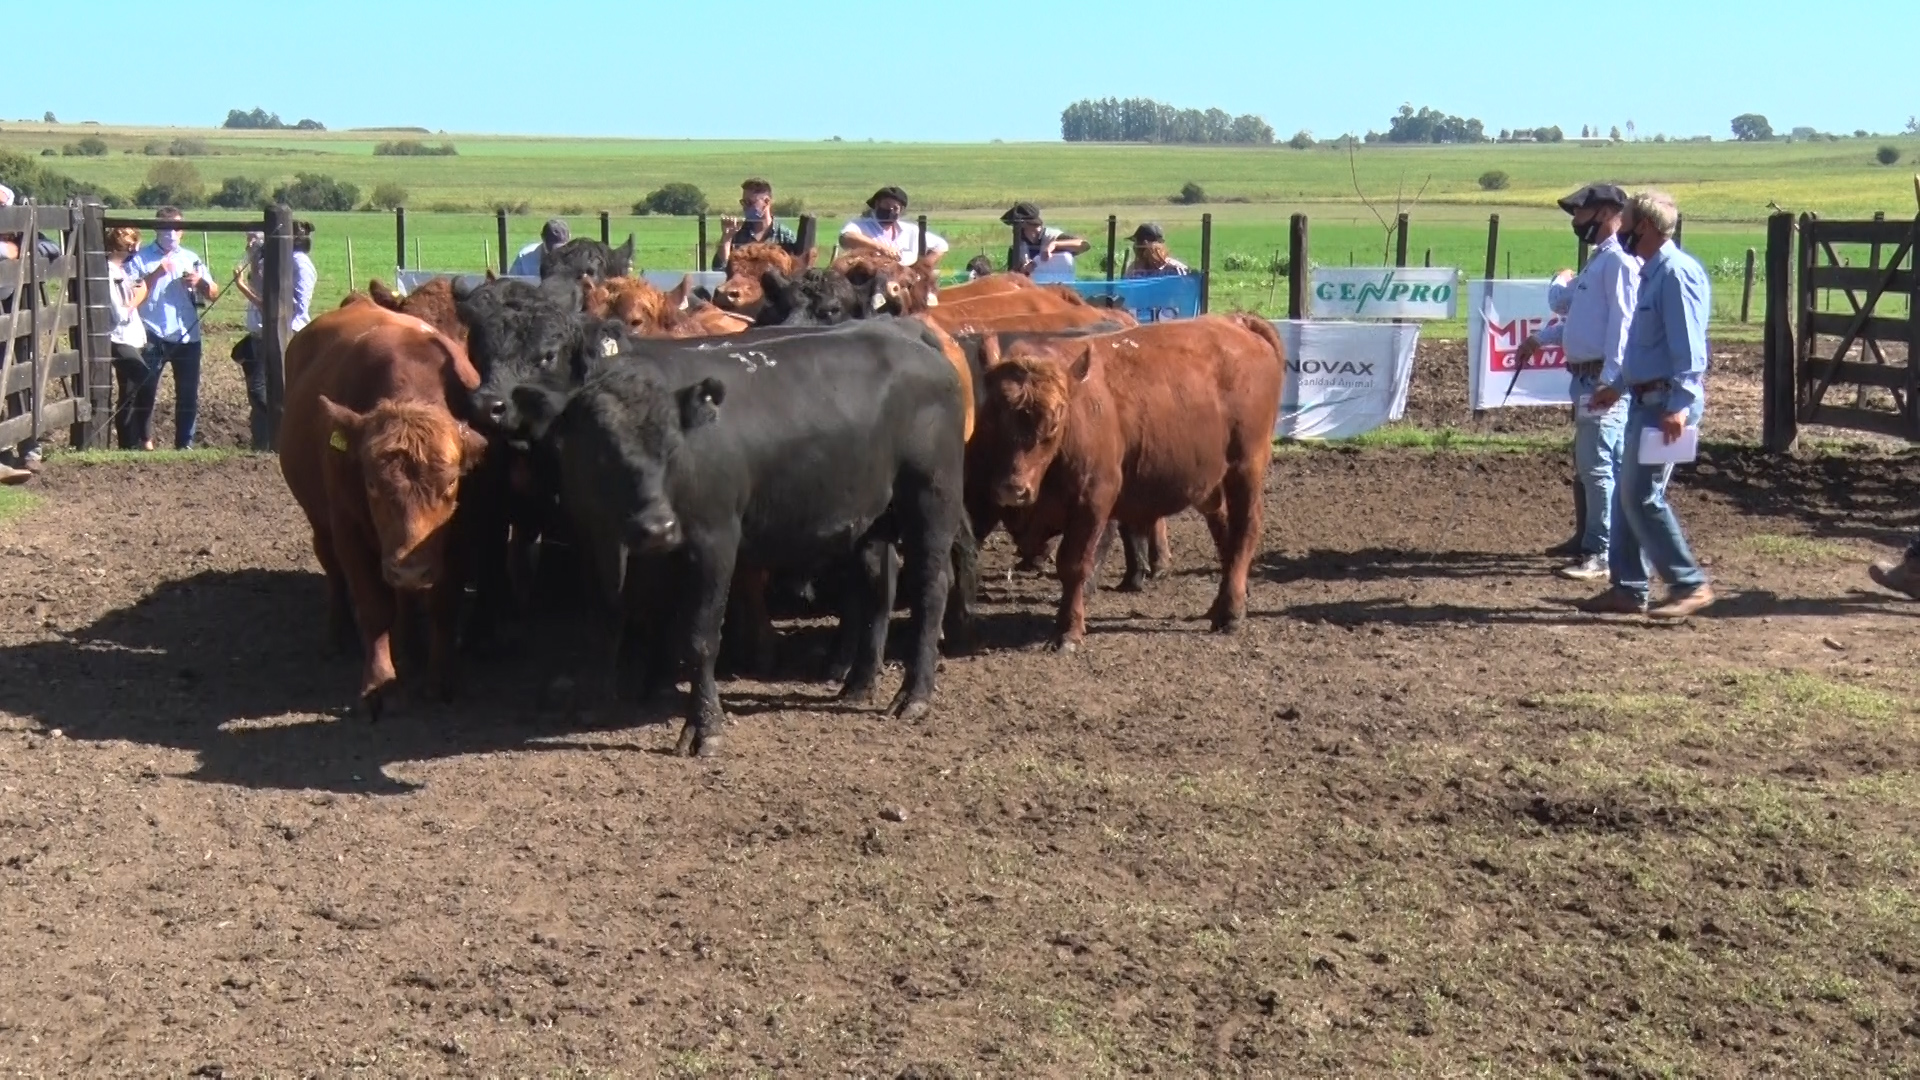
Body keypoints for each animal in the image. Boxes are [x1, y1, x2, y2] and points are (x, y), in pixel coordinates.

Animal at [284, 299, 499, 714]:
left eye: (452, 482)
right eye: (371, 483)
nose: (411, 569)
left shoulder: (461, 535)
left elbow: (442, 604)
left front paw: (439, 678)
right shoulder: (349, 530)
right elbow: (373, 606)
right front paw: (379, 684)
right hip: (321, 524)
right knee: (335, 574)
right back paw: (338, 637)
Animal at [510, 320, 967, 757]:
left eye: (673, 448)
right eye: (601, 451)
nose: (658, 528)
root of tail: (908, 333)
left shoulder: (714, 540)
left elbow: (699, 638)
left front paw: (704, 728)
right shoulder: (595, 540)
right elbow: (608, 621)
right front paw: (596, 701)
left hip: (931, 498)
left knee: (930, 587)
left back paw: (914, 695)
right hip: (872, 519)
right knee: (878, 589)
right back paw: (859, 684)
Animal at [983, 311, 1282, 645]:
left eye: (1055, 420)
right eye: (992, 414)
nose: (1013, 489)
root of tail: (1236, 321)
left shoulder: (1093, 502)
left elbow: (1074, 565)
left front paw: (1068, 629)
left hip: (1246, 467)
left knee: (1245, 529)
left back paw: (1231, 613)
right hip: (1210, 482)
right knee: (1225, 533)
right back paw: (1222, 605)